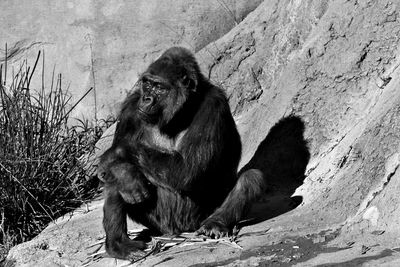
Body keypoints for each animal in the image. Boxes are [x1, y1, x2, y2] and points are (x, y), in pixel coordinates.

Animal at [97, 47, 266, 260]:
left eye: (159, 87)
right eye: (148, 84)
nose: (146, 98)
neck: (181, 112)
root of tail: (176, 232)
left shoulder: (213, 104)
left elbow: (185, 170)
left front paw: (117, 153)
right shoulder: (131, 108)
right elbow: (118, 169)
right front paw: (125, 174)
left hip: (197, 220)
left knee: (252, 177)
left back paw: (215, 223)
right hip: (158, 224)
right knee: (112, 178)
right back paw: (118, 243)